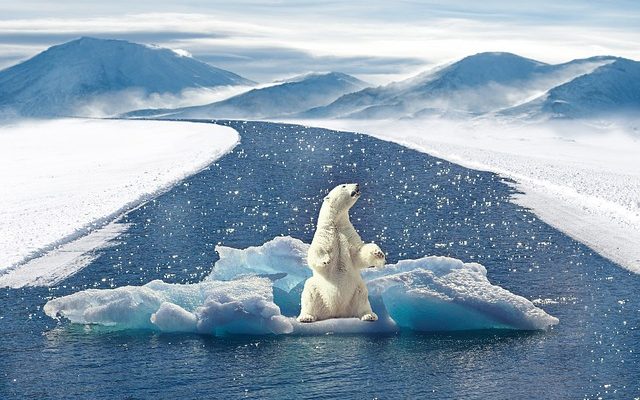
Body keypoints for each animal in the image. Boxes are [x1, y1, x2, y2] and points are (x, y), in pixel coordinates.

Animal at [298, 183, 384, 324]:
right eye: (344, 185)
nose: (357, 184)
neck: (336, 224)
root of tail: (337, 312)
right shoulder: (324, 235)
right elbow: (316, 252)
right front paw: (325, 260)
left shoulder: (347, 234)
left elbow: (359, 253)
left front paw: (378, 253)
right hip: (318, 290)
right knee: (310, 292)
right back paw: (306, 317)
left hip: (355, 290)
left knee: (362, 296)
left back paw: (369, 315)